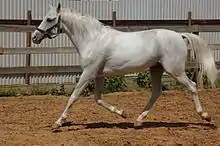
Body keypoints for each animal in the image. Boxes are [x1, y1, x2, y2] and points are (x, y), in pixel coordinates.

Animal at [31, 3, 217, 130]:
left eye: (49, 19)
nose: (34, 37)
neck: (93, 39)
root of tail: (179, 35)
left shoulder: (88, 73)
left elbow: (74, 96)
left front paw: (58, 123)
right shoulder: (98, 75)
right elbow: (98, 99)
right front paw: (123, 113)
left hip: (175, 70)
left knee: (192, 86)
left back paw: (205, 116)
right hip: (156, 69)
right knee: (156, 92)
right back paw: (138, 120)